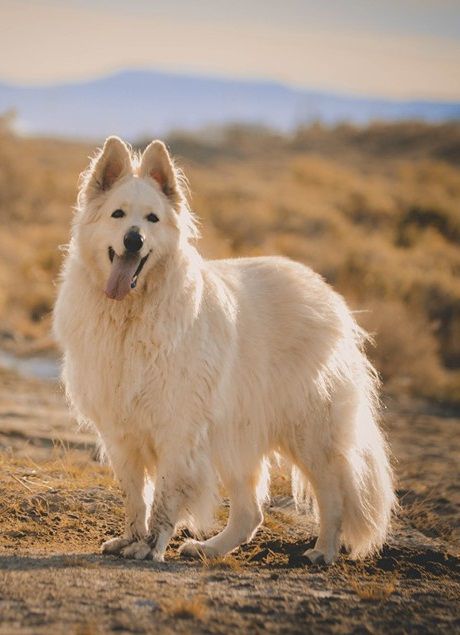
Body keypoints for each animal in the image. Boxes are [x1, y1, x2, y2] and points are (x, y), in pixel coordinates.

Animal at [52, 137, 394, 564]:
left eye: (152, 219)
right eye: (118, 214)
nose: (134, 239)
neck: (131, 314)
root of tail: (326, 291)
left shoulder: (178, 427)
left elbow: (164, 496)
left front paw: (150, 547)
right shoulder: (120, 430)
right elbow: (135, 496)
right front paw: (130, 539)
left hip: (309, 429)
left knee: (333, 492)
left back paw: (323, 552)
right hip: (239, 433)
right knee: (251, 513)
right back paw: (209, 549)